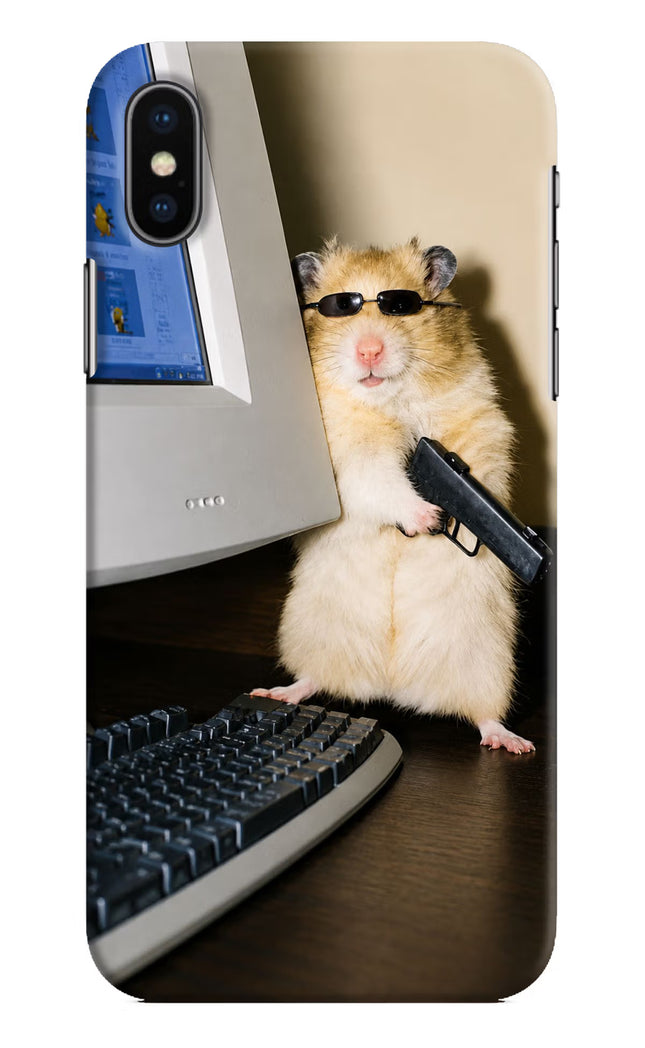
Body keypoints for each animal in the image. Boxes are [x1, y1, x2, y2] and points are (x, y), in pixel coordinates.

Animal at [252, 238, 534, 754]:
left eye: (401, 306)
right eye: (340, 307)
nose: (369, 350)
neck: (389, 401)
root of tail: (393, 686)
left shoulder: (481, 424)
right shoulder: (348, 458)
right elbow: (380, 481)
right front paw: (428, 518)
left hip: (487, 660)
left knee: (484, 714)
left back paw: (512, 742)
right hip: (311, 632)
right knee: (313, 679)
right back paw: (277, 692)